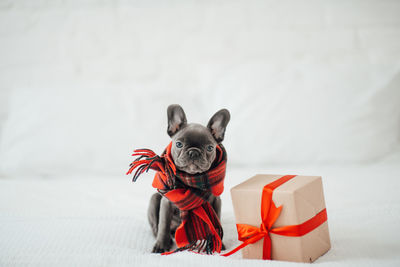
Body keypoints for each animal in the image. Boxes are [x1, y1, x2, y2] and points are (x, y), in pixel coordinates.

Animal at [147, 104, 230, 253]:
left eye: (210, 148)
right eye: (179, 144)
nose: (194, 152)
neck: (190, 180)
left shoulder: (216, 201)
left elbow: (216, 221)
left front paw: (217, 243)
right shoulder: (166, 202)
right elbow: (163, 224)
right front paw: (161, 244)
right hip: (154, 200)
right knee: (156, 227)